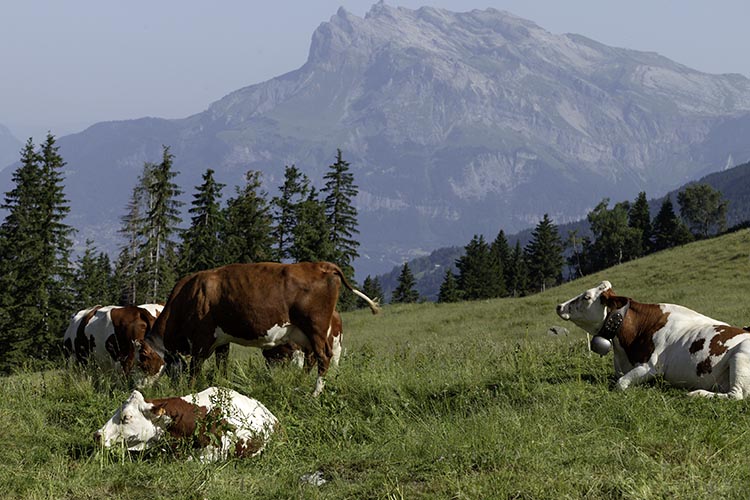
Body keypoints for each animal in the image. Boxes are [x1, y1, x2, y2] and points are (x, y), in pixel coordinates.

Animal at [136, 262, 379, 396]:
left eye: (143, 361)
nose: (138, 387)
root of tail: (322, 265)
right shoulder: (222, 340)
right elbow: (222, 365)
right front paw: (222, 385)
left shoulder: (201, 339)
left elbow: (195, 369)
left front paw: (191, 390)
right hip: (304, 334)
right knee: (311, 359)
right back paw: (299, 384)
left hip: (316, 327)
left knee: (324, 357)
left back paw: (314, 393)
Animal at [556, 280, 750, 399]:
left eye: (586, 297)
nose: (559, 306)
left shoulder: (650, 367)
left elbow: (620, 384)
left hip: (740, 356)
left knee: (737, 395)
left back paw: (697, 393)